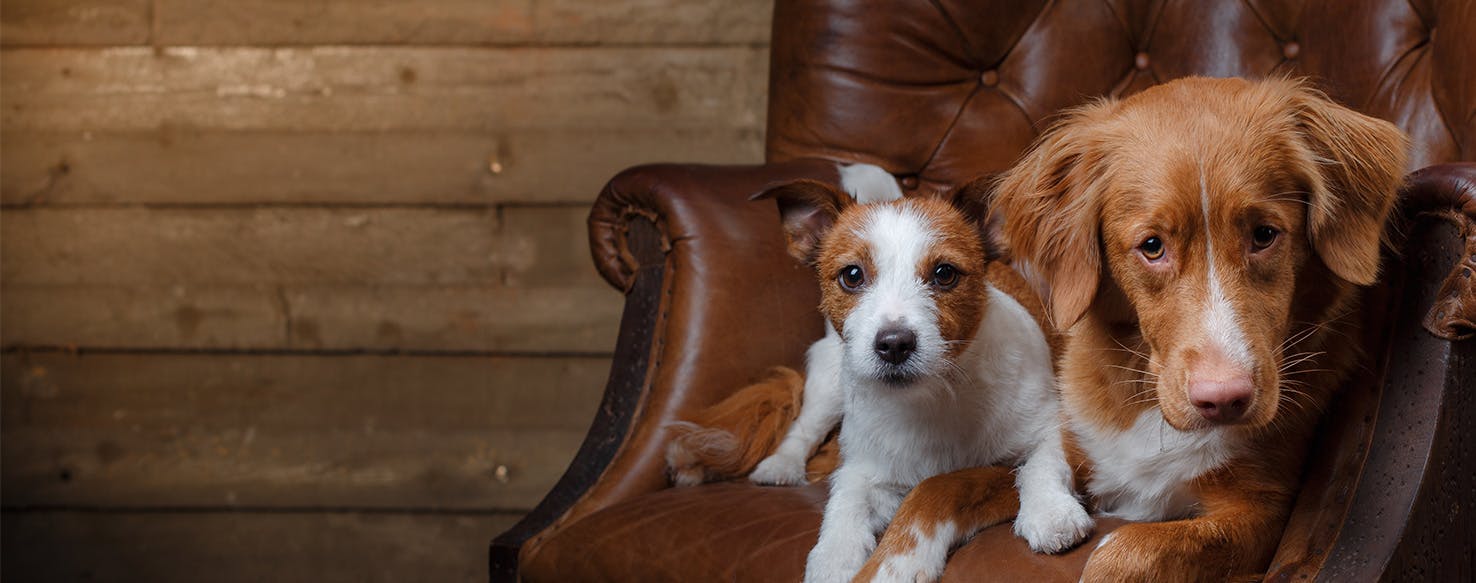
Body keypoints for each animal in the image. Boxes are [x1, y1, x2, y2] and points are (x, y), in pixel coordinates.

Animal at [755, 164, 1092, 583]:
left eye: (945, 273)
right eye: (852, 275)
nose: (894, 344)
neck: (933, 399)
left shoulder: (1050, 426)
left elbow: (1042, 464)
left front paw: (1050, 510)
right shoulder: (865, 469)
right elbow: (846, 498)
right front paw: (833, 555)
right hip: (828, 382)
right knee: (804, 427)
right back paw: (780, 464)